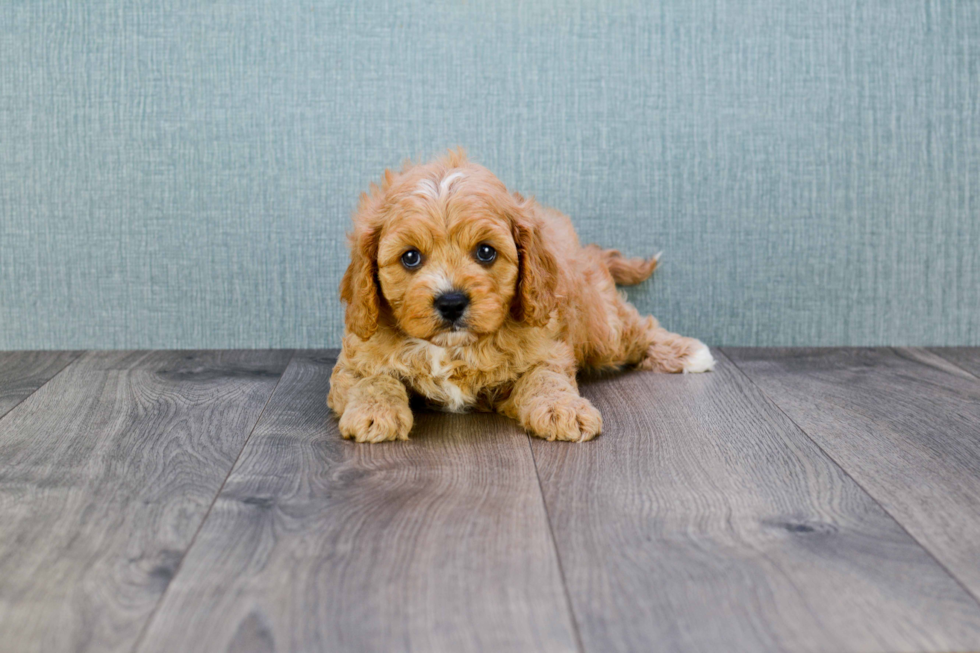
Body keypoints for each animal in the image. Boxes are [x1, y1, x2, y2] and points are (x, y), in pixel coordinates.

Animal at [330, 150, 712, 440]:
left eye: (486, 252)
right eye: (410, 257)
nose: (451, 302)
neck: (452, 348)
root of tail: (585, 252)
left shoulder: (547, 348)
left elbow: (545, 377)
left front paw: (564, 409)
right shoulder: (355, 357)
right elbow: (373, 378)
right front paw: (374, 413)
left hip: (602, 328)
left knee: (639, 328)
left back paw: (688, 352)